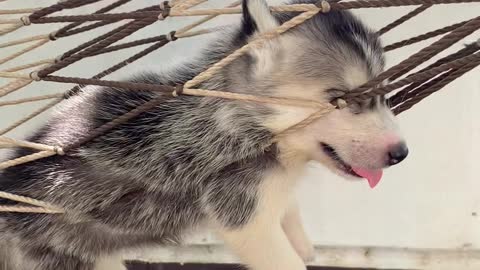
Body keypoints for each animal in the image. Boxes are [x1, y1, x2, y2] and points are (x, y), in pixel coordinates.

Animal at [0, 0, 408, 270]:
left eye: (385, 95)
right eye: (341, 100)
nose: (401, 153)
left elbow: (289, 212)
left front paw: (301, 237)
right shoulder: (244, 215)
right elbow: (285, 258)